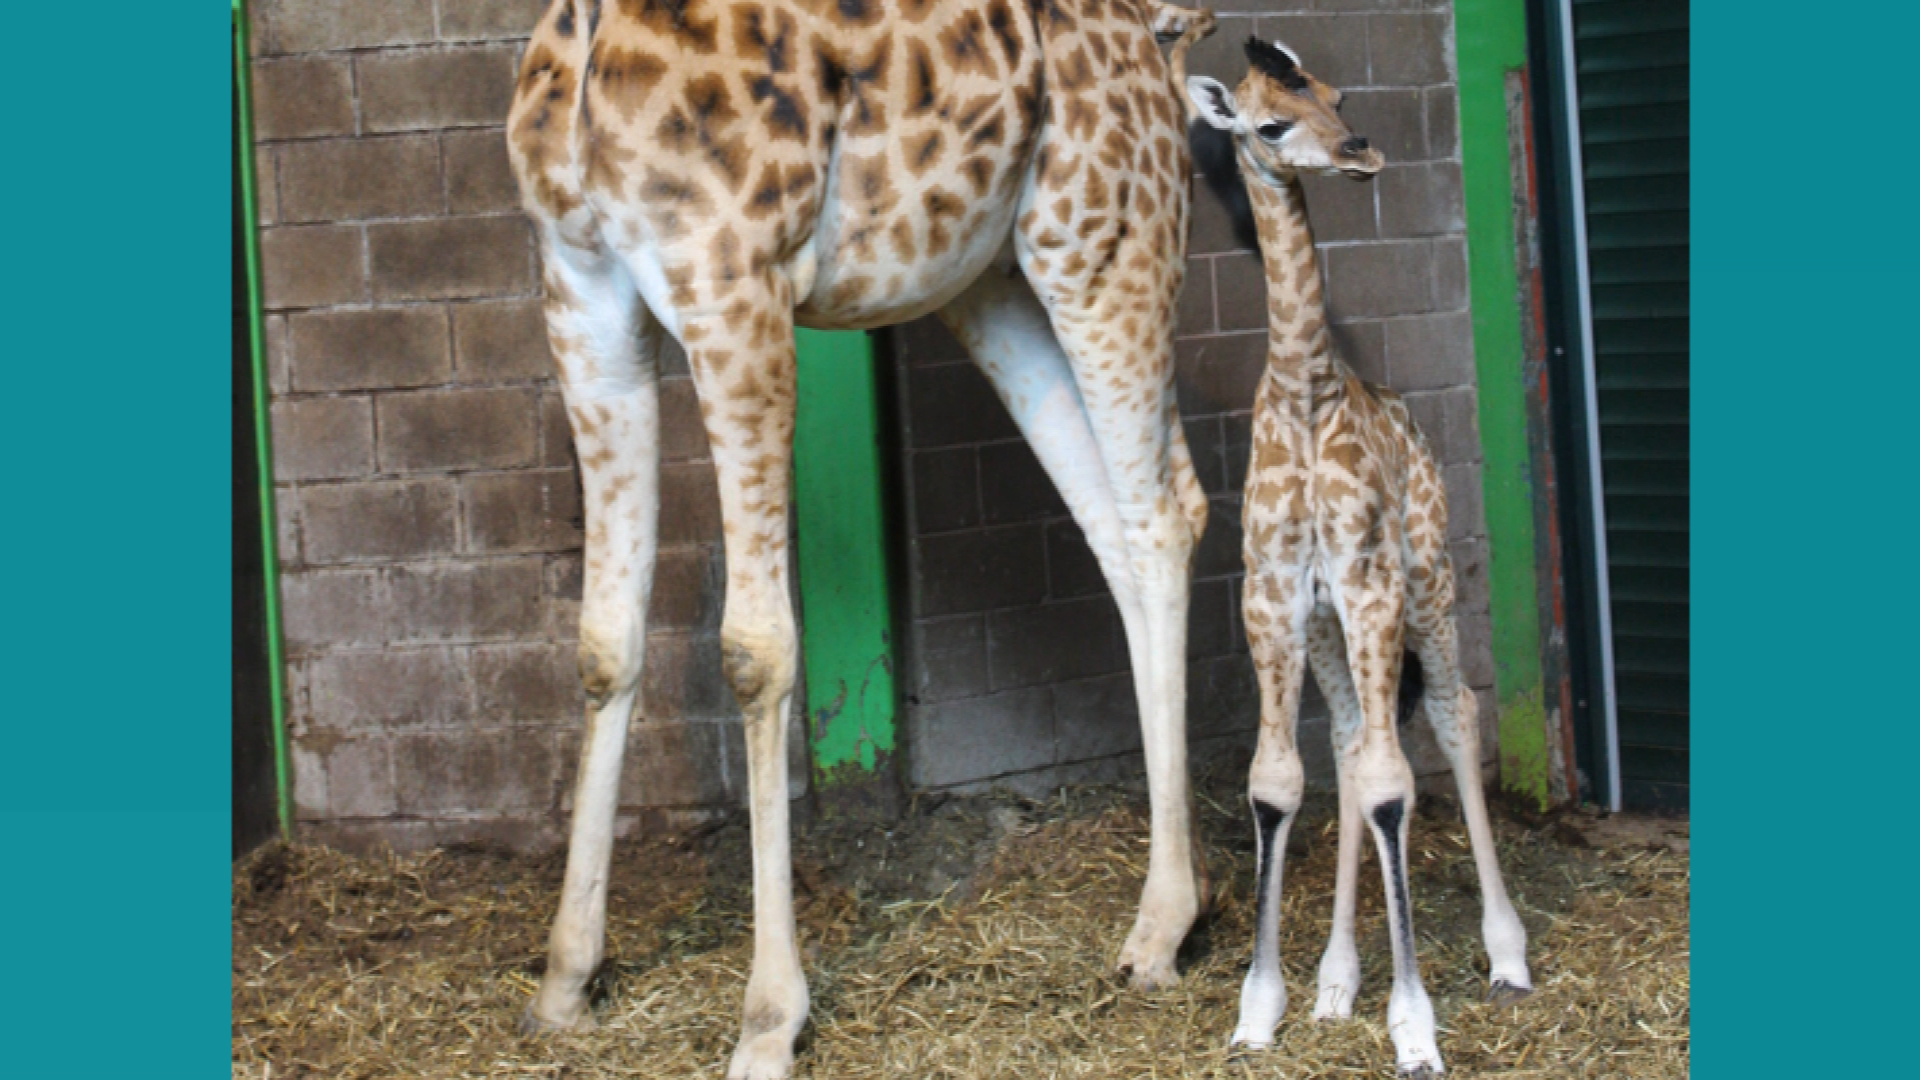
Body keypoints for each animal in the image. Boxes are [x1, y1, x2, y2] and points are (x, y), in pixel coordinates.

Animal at [506, 4, 1213, 1068]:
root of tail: (1164, 49)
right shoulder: (582, 290)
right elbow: (602, 641)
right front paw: (564, 984)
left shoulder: (735, 282)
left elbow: (754, 649)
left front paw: (768, 1022)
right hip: (995, 280)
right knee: (1121, 521)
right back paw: (1167, 914)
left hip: (1105, 241)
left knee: (1163, 512)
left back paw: (1160, 929)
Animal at [1182, 39, 1528, 1068]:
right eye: (1270, 124)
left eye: (1337, 96)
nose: (1362, 150)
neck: (1307, 395)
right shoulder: (1271, 596)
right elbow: (1280, 780)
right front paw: (1260, 1010)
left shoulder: (1372, 587)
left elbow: (1390, 783)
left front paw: (1414, 1027)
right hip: (1334, 630)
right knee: (1345, 740)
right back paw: (1336, 983)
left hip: (1429, 583)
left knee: (1450, 715)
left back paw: (1508, 956)